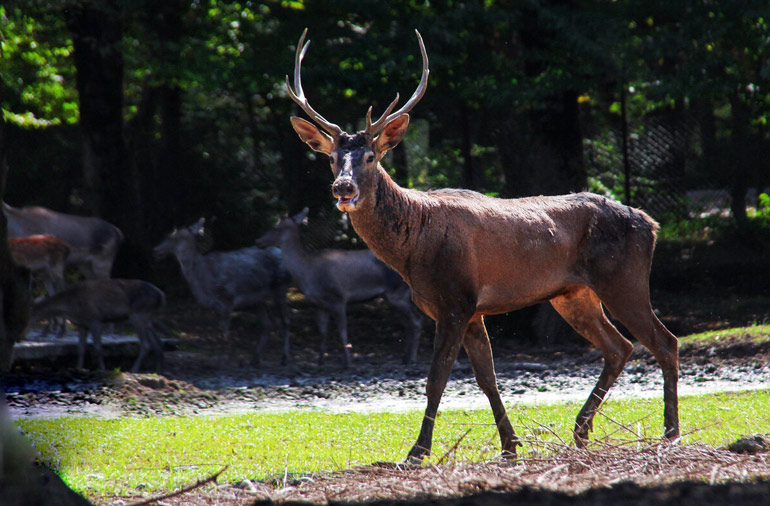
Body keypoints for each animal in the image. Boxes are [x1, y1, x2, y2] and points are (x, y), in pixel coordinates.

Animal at [29, 276, 166, 372]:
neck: (70, 307)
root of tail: (162, 296)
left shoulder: (95, 319)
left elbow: (98, 348)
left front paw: (102, 369)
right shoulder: (82, 324)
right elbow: (81, 348)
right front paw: (79, 368)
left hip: (138, 315)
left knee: (146, 345)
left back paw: (134, 370)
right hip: (147, 318)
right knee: (158, 344)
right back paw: (159, 371)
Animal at [153, 217, 292, 364]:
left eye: (174, 237)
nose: (156, 250)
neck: (204, 283)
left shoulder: (228, 299)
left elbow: (225, 329)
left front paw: (232, 357)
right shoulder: (215, 306)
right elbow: (222, 329)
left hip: (280, 287)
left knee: (286, 320)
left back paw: (284, 357)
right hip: (256, 301)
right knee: (267, 324)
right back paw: (256, 357)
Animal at [258, 207, 424, 368]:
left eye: (277, 227)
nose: (258, 241)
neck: (307, 273)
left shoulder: (338, 298)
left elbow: (342, 333)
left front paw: (347, 363)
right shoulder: (319, 304)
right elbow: (322, 332)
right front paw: (320, 361)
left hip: (398, 294)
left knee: (416, 321)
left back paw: (412, 359)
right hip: (392, 298)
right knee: (408, 324)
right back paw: (405, 358)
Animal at [284, 28, 680, 462]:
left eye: (371, 156)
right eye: (333, 158)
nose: (343, 188)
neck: (412, 249)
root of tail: (652, 224)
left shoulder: (456, 301)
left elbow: (437, 379)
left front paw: (418, 451)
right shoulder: (471, 310)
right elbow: (487, 379)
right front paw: (510, 446)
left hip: (623, 278)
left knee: (664, 341)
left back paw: (670, 433)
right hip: (573, 293)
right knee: (619, 346)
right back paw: (581, 432)